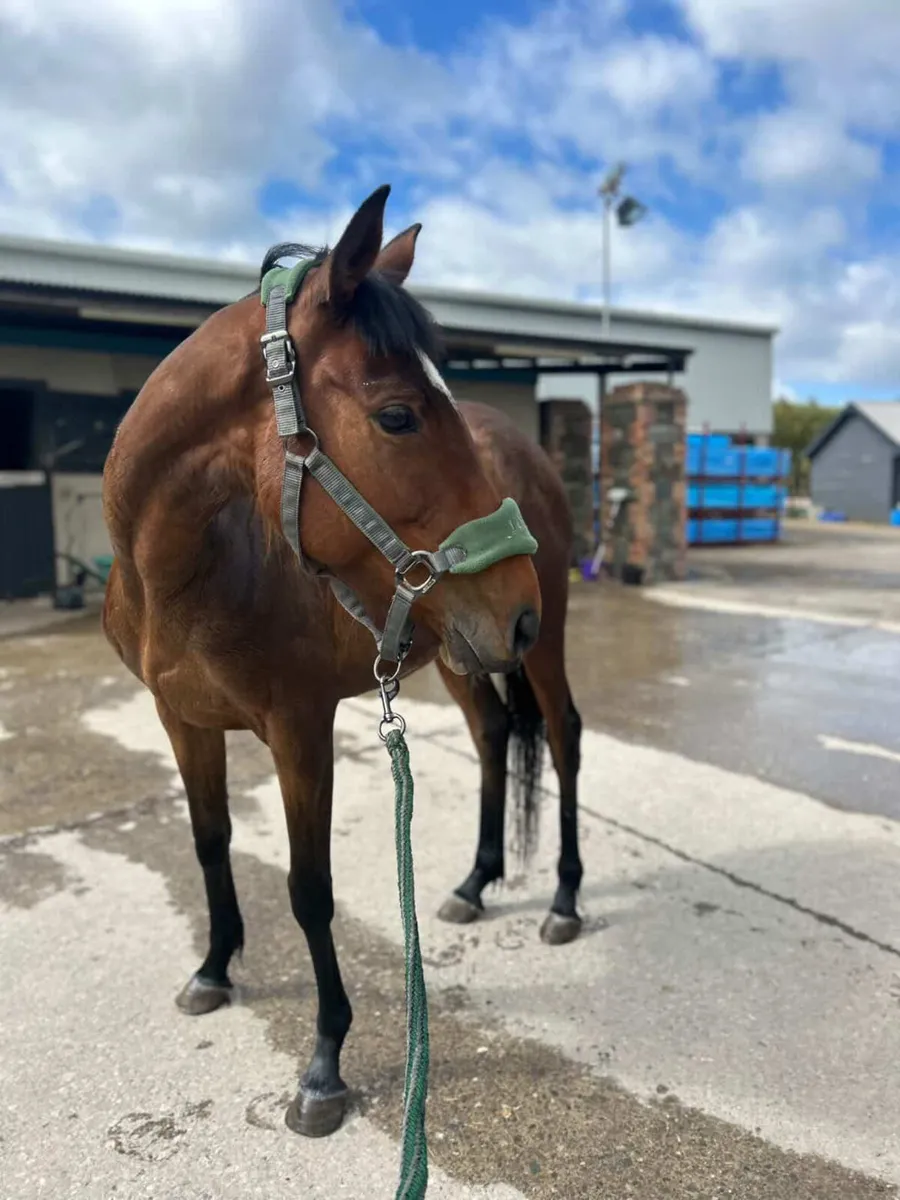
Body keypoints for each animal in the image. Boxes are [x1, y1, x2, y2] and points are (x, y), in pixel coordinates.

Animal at [101, 184, 584, 1139]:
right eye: (396, 414)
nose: (515, 608)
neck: (189, 571)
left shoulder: (300, 729)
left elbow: (309, 889)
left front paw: (324, 1063)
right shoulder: (181, 721)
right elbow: (209, 844)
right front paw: (213, 969)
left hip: (535, 654)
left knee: (564, 736)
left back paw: (562, 903)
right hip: (461, 656)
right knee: (493, 737)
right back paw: (475, 883)